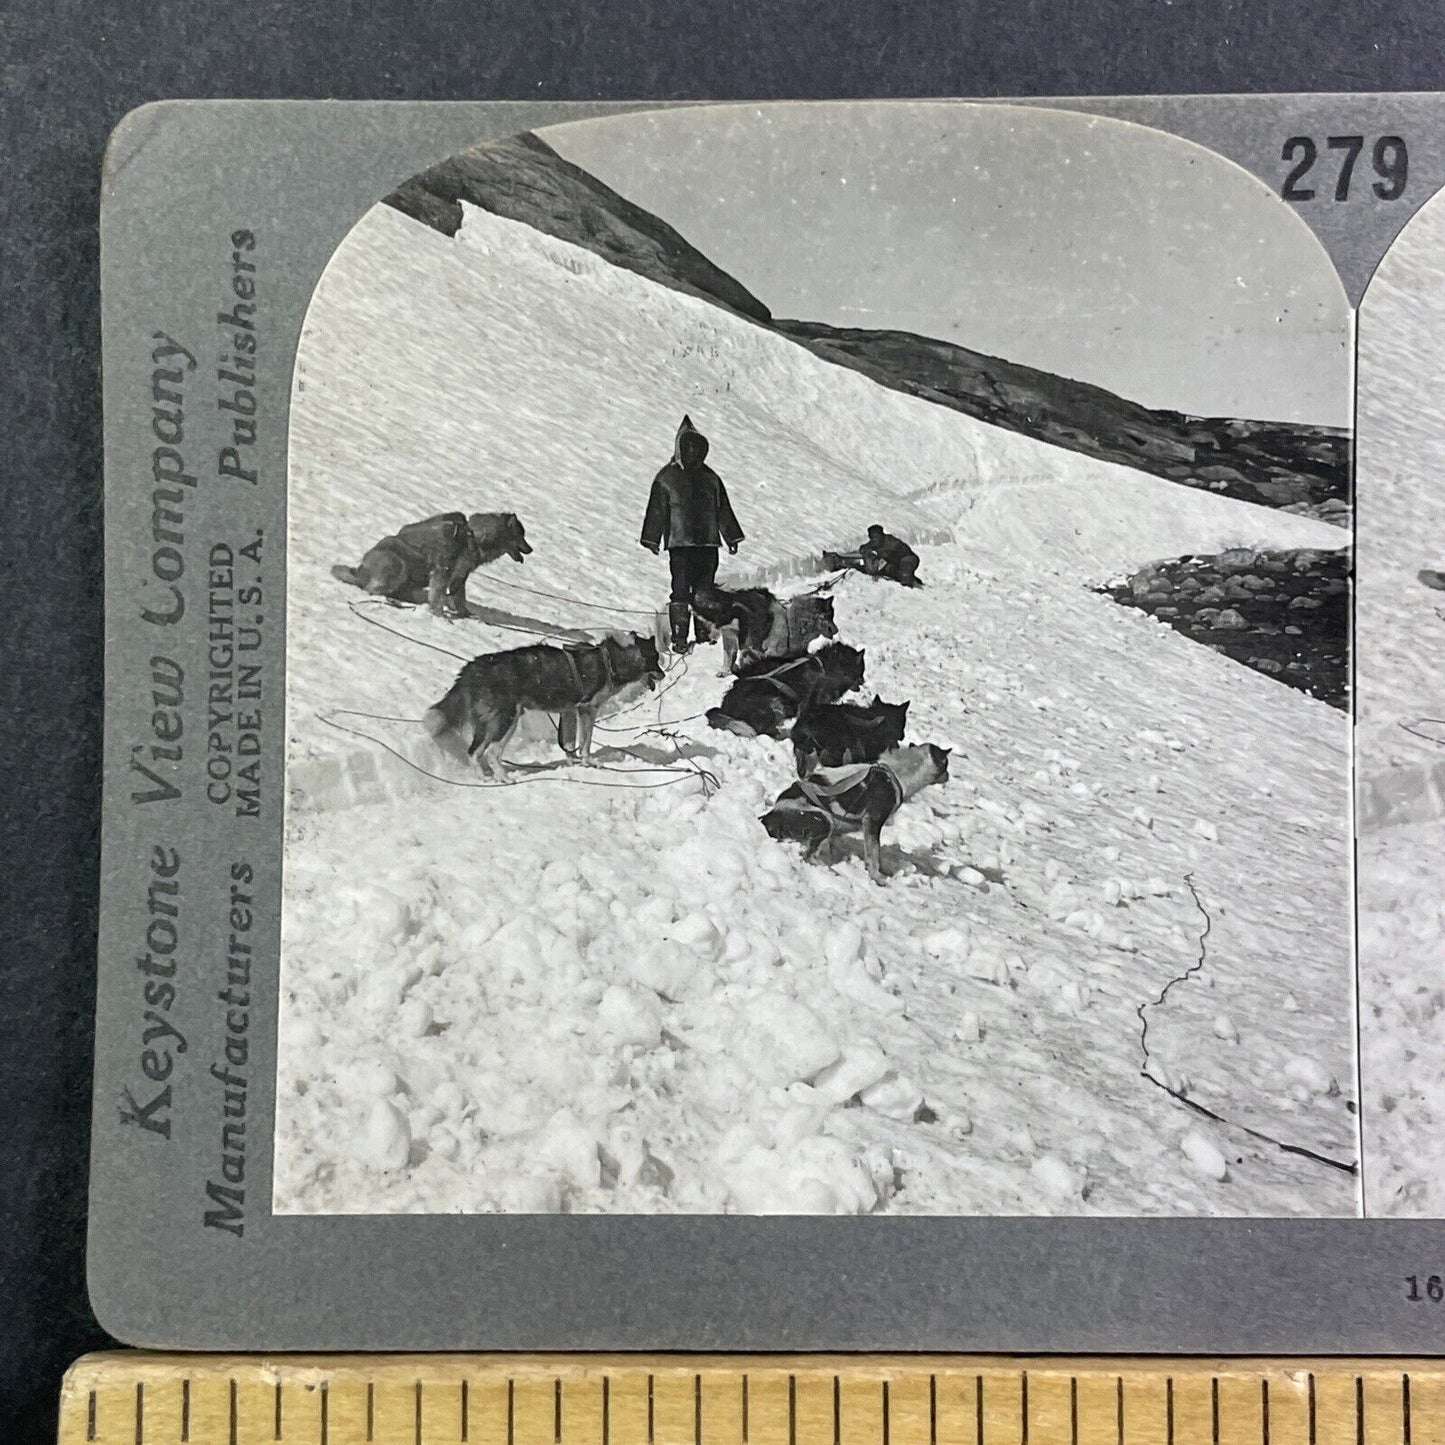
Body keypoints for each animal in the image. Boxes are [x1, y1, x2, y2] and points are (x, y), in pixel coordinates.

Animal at [421, 632, 661, 780]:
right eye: (656, 658)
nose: (664, 674)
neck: (609, 660)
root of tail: (473, 667)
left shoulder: (569, 712)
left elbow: (570, 743)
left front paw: (574, 762)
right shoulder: (586, 710)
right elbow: (586, 743)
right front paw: (589, 762)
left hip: (492, 722)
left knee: (474, 752)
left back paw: (484, 777)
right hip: (506, 719)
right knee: (490, 752)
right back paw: (504, 778)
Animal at [687, 583, 838, 673]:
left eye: (832, 615)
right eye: (827, 616)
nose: (836, 630)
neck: (792, 626)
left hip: (731, 636)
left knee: (730, 656)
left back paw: (725, 671)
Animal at [705, 644, 861, 739]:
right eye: (860, 673)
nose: (861, 684)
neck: (823, 666)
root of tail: (724, 709)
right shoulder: (812, 700)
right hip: (774, 703)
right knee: (763, 731)